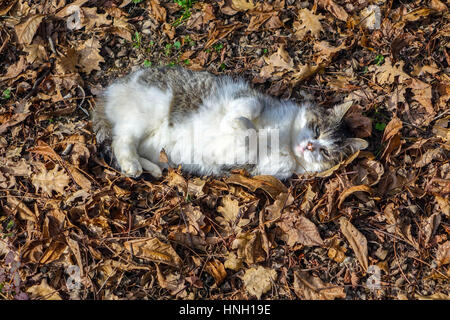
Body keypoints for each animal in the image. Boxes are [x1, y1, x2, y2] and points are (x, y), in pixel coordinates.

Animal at [90, 66, 366, 180]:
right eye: (317, 130)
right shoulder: (249, 96)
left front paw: (244, 131)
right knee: (121, 138)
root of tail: (109, 94)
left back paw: (146, 168)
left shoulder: (251, 167)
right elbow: (249, 109)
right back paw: (133, 165)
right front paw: (238, 122)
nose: (310, 146)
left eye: (326, 152)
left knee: (124, 142)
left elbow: (249, 148)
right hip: (149, 109)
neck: (286, 138)